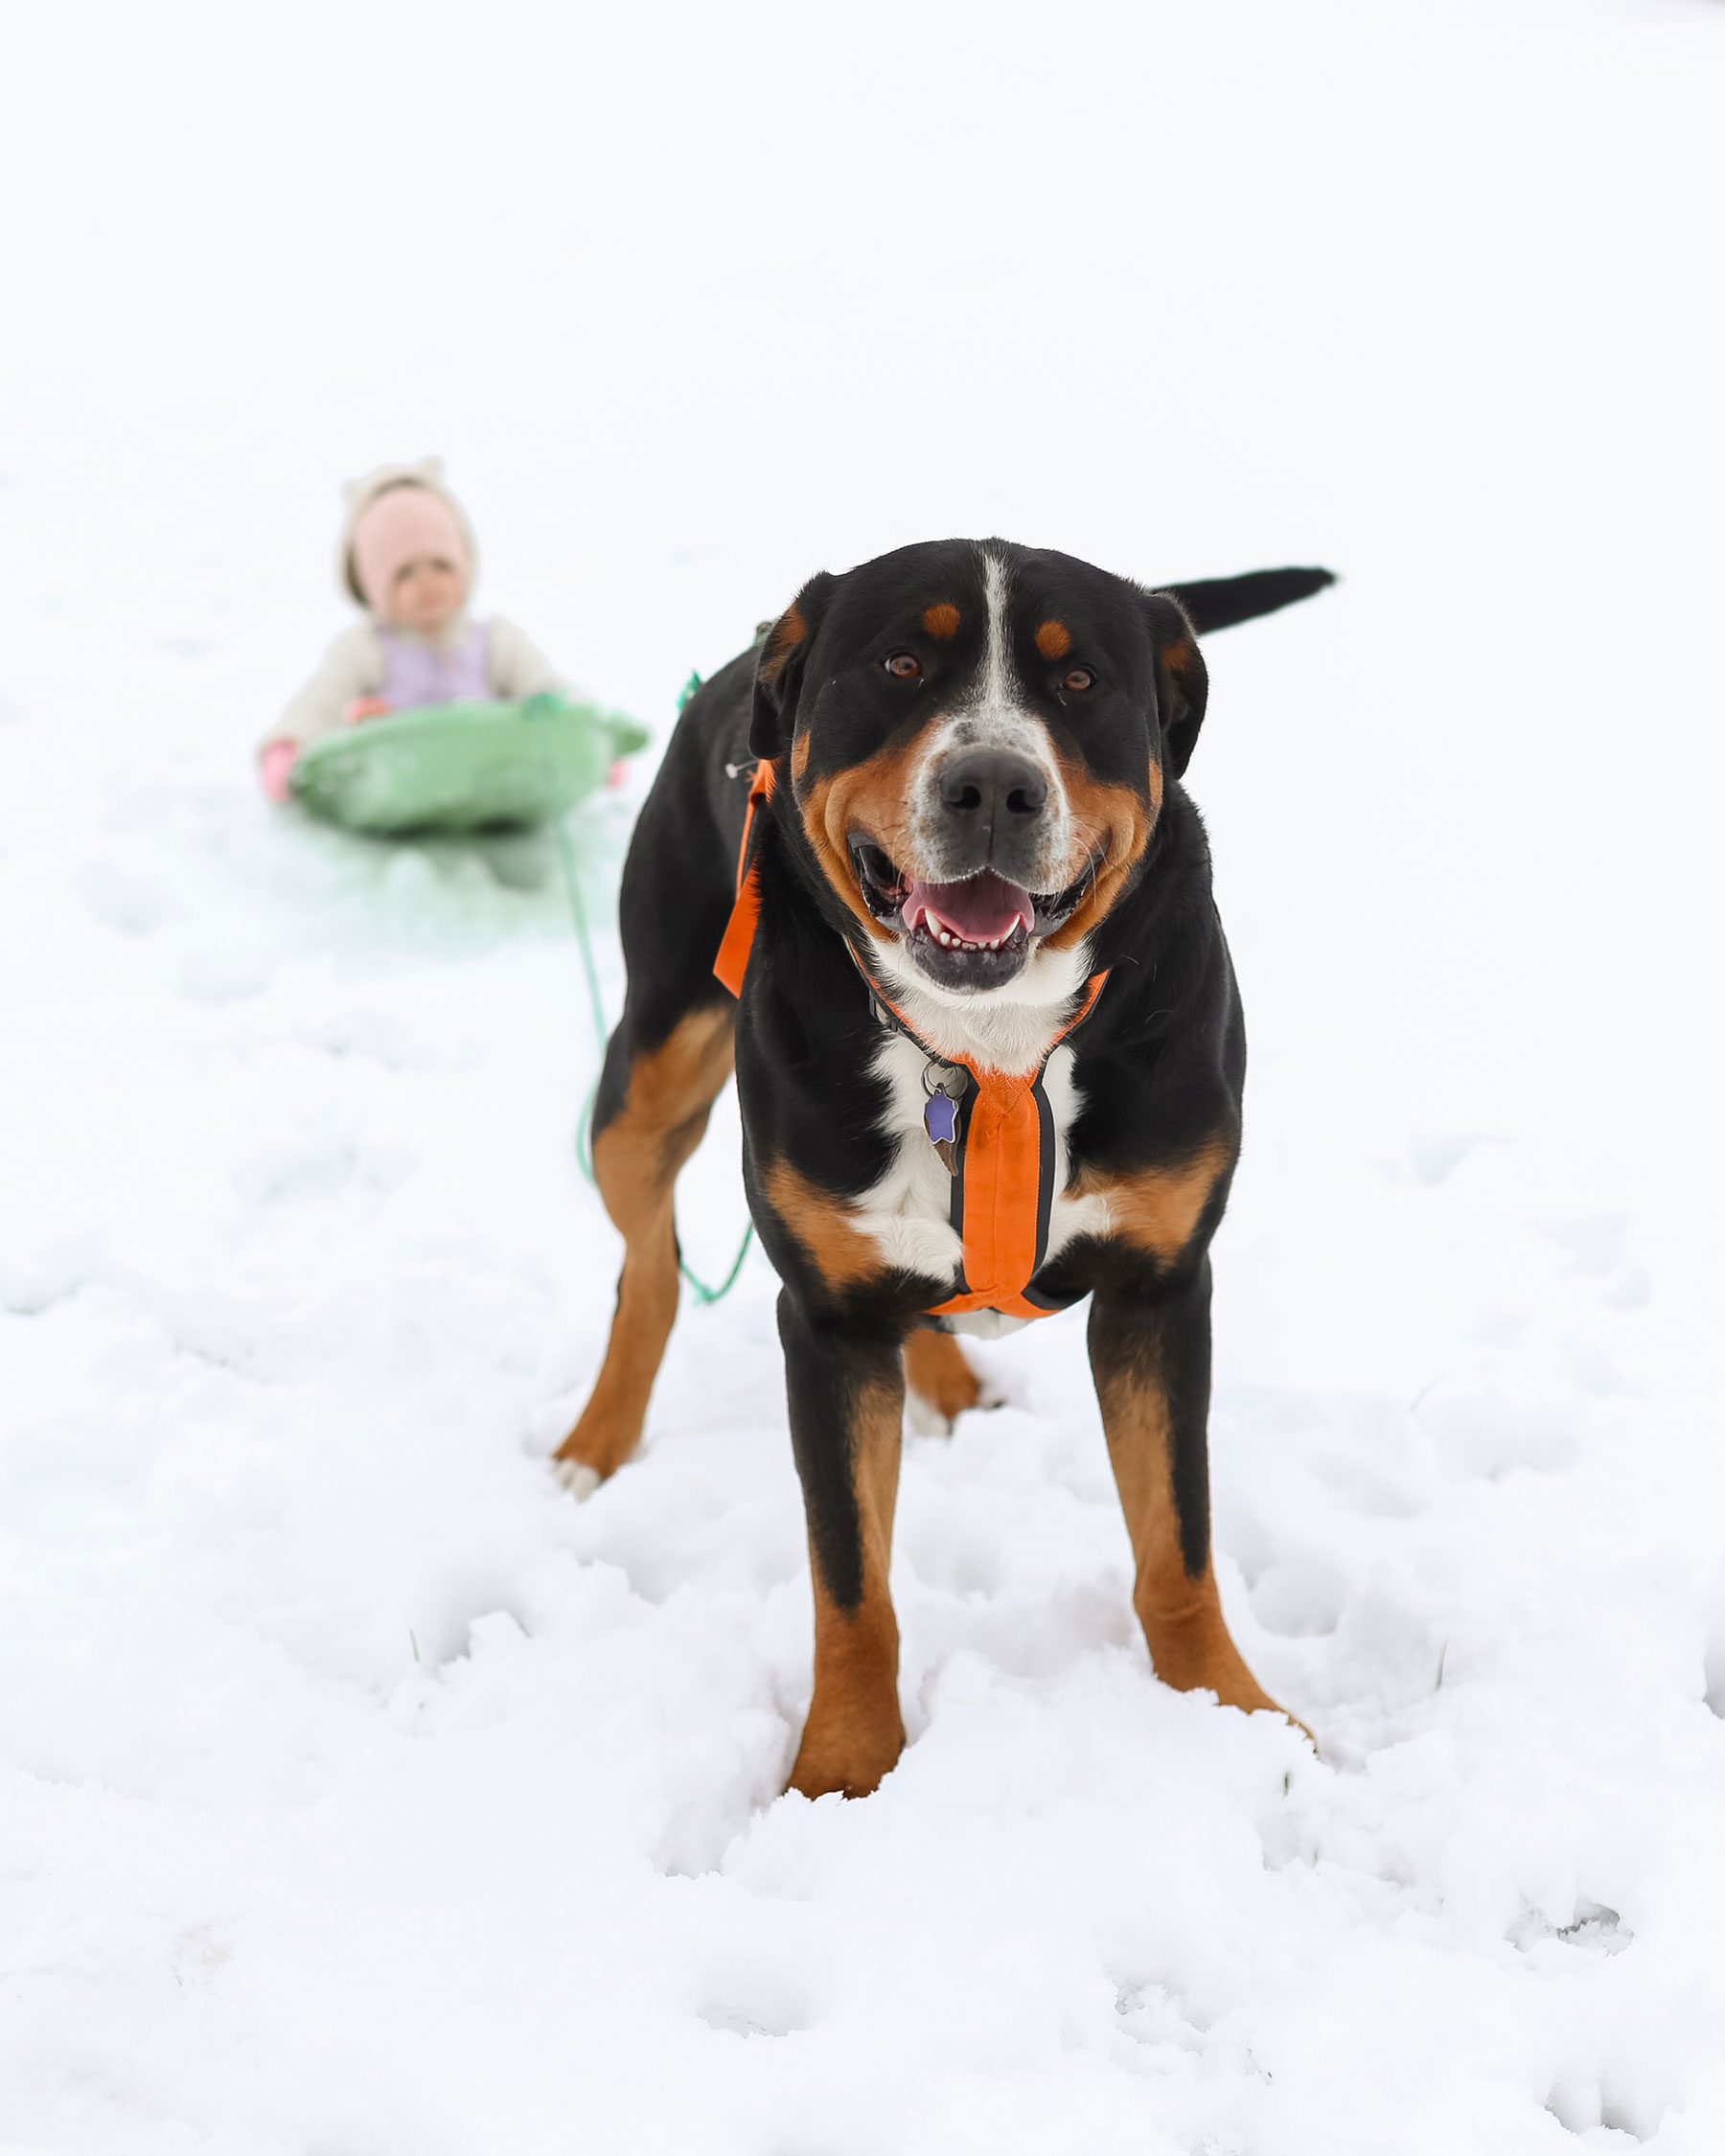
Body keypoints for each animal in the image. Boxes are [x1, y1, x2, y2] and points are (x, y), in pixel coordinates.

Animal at [552, 543, 1337, 1802]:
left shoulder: (1163, 1289)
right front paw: (842, 1770)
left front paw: (1233, 1714)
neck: (992, 1046)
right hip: (648, 1070)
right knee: (649, 1267)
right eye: (901, 665)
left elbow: (1178, 1541)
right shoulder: (824, 1322)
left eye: (1081, 682)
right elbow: (849, 1582)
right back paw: (597, 1445)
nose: (993, 787)